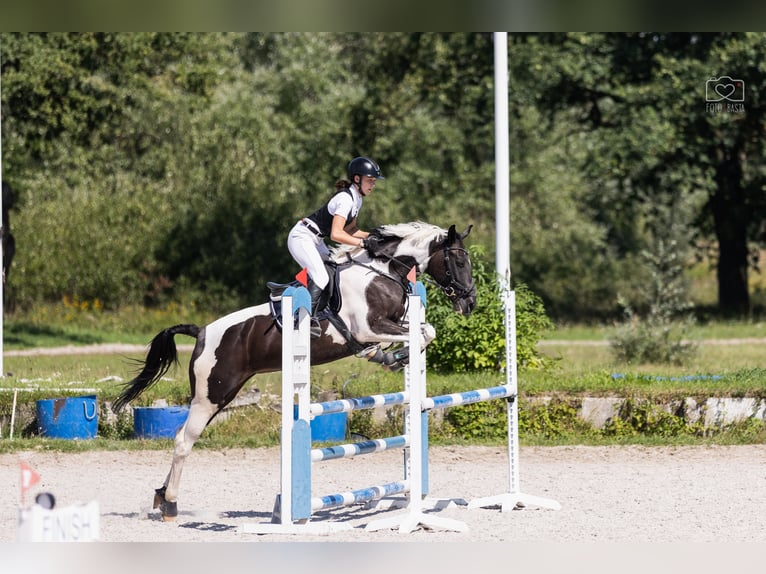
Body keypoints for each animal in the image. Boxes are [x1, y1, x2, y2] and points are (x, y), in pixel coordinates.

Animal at [113, 222, 474, 520]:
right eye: (458, 262)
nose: (469, 303)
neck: (380, 273)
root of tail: (202, 331)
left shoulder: (388, 325)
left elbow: (425, 330)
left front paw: (392, 357)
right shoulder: (368, 327)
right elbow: (421, 333)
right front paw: (398, 356)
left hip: (221, 394)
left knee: (182, 435)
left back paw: (161, 497)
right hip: (210, 396)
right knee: (183, 441)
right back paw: (171, 504)